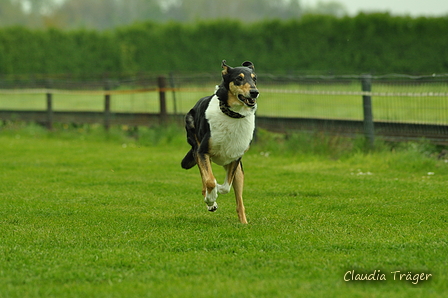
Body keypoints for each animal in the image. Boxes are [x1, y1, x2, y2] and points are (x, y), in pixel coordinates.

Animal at [181, 60, 260, 224]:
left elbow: (225, 187)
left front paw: (215, 191)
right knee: (205, 178)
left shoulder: (235, 158)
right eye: (239, 78)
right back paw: (210, 200)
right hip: (197, 149)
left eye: (254, 79)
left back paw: (244, 223)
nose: (255, 92)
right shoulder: (203, 152)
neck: (233, 115)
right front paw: (210, 199)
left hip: (238, 171)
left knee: (239, 201)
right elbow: (209, 181)